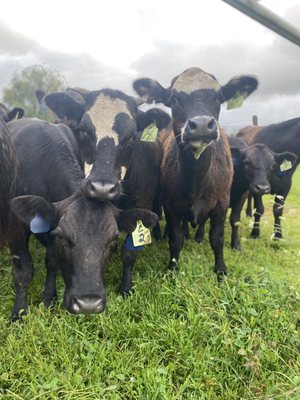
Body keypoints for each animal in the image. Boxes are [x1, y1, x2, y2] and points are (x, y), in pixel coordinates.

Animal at [134, 67, 258, 276]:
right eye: (174, 98)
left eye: (219, 96)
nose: (201, 125)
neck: (196, 179)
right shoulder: (170, 203)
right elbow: (176, 239)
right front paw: (172, 270)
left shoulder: (222, 202)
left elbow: (217, 238)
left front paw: (221, 271)